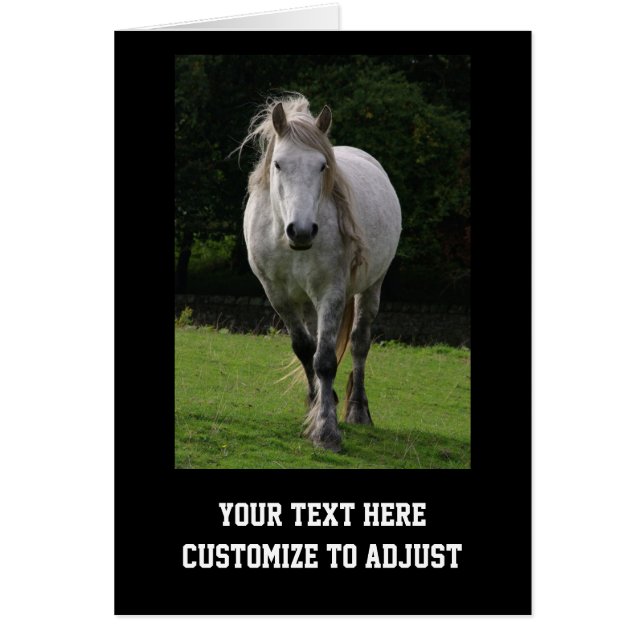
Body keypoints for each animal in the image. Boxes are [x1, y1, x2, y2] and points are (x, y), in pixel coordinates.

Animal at [239, 94, 401, 452]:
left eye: (322, 166)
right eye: (278, 164)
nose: (301, 231)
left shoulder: (332, 292)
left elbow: (325, 358)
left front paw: (326, 430)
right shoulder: (278, 296)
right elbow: (305, 350)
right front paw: (315, 408)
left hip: (371, 287)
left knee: (359, 344)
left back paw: (357, 411)